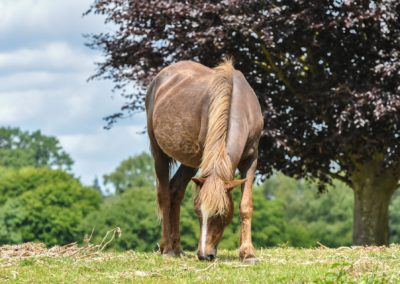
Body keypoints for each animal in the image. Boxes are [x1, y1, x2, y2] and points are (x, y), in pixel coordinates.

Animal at [145, 58, 264, 262]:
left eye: (220, 214)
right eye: (198, 213)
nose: (203, 255)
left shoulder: (251, 159)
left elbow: (246, 205)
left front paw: (247, 253)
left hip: (189, 162)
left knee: (176, 191)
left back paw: (178, 248)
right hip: (159, 152)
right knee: (165, 194)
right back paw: (167, 248)